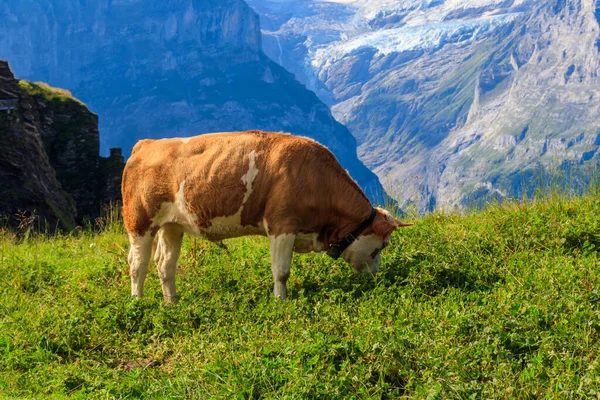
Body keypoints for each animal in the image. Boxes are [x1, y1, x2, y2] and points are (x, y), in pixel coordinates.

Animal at [122, 130, 408, 302]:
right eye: (382, 245)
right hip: (139, 221)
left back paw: (172, 302)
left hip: (172, 226)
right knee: (138, 264)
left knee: (165, 264)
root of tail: (147, 144)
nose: (377, 276)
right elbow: (281, 271)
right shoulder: (282, 225)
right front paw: (281, 300)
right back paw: (137, 302)